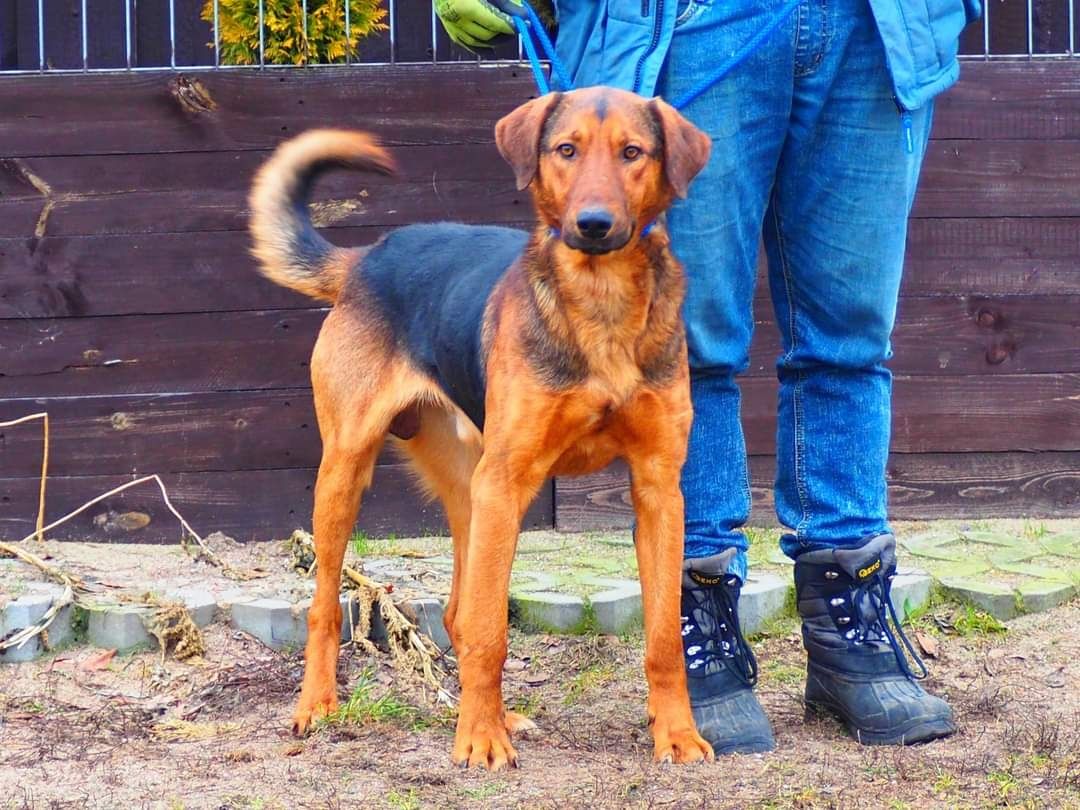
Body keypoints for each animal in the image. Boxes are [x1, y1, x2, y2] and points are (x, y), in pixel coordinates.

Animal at [248, 85, 712, 768]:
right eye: (566, 150)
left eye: (633, 152)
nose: (593, 224)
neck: (600, 303)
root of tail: (367, 259)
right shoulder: (510, 479)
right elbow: (494, 630)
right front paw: (480, 741)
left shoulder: (658, 488)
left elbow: (663, 637)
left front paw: (675, 733)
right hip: (351, 475)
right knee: (328, 605)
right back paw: (320, 704)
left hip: (473, 493)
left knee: (459, 613)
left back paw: (491, 712)